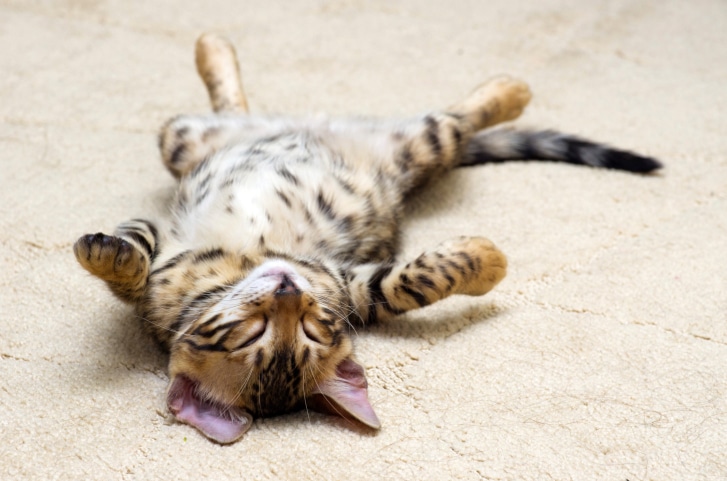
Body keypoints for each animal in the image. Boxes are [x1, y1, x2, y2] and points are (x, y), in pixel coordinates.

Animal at [74, 32, 660, 442]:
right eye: (251, 335)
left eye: (311, 328)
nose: (287, 289)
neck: (240, 270)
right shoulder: (341, 285)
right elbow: (134, 253)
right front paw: (111, 258)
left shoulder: (344, 281)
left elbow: (413, 279)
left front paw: (485, 258)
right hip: (199, 141)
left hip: (362, 145)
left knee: (450, 119)